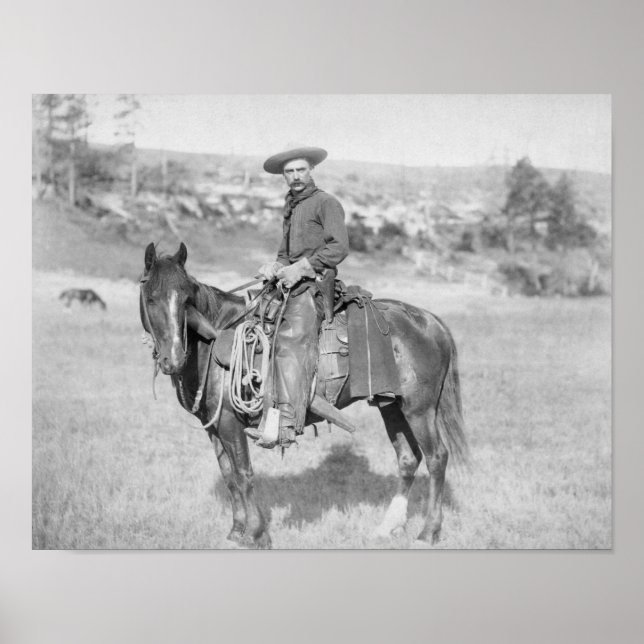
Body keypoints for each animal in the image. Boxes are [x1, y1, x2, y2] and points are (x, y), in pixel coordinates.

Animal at [139, 242, 467, 549]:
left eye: (186, 299)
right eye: (151, 298)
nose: (173, 360)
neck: (215, 338)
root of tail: (430, 321)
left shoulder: (231, 423)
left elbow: (244, 475)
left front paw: (256, 534)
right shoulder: (215, 426)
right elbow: (229, 477)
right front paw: (235, 531)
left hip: (419, 409)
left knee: (437, 458)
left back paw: (428, 532)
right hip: (391, 406)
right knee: (408, 458)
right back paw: (388, 527)